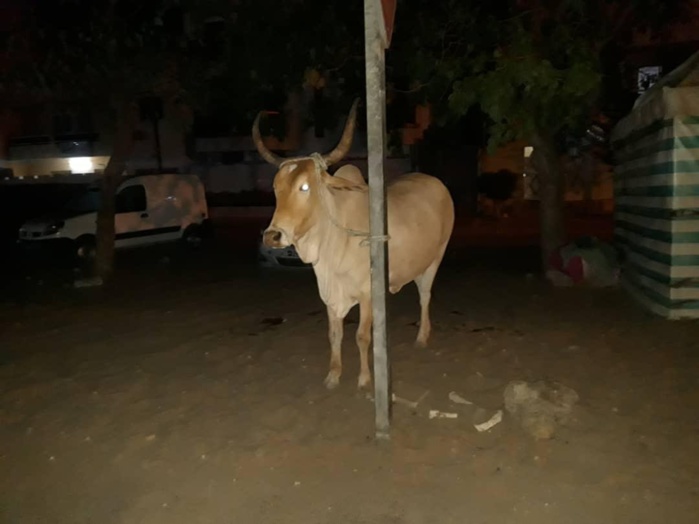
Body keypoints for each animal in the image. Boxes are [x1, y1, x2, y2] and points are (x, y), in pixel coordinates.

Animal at [252, 100, 454, 390]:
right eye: (276, 187)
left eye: (305, 187)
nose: (272, 236)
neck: (332, 245)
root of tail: (434, 181)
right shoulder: (330, 295)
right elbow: (334, 334)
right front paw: (334, 374)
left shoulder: (366, 293)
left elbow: (361, 336)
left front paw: (365, 378)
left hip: (436, 257)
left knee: (425, 296)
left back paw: (422, 337)